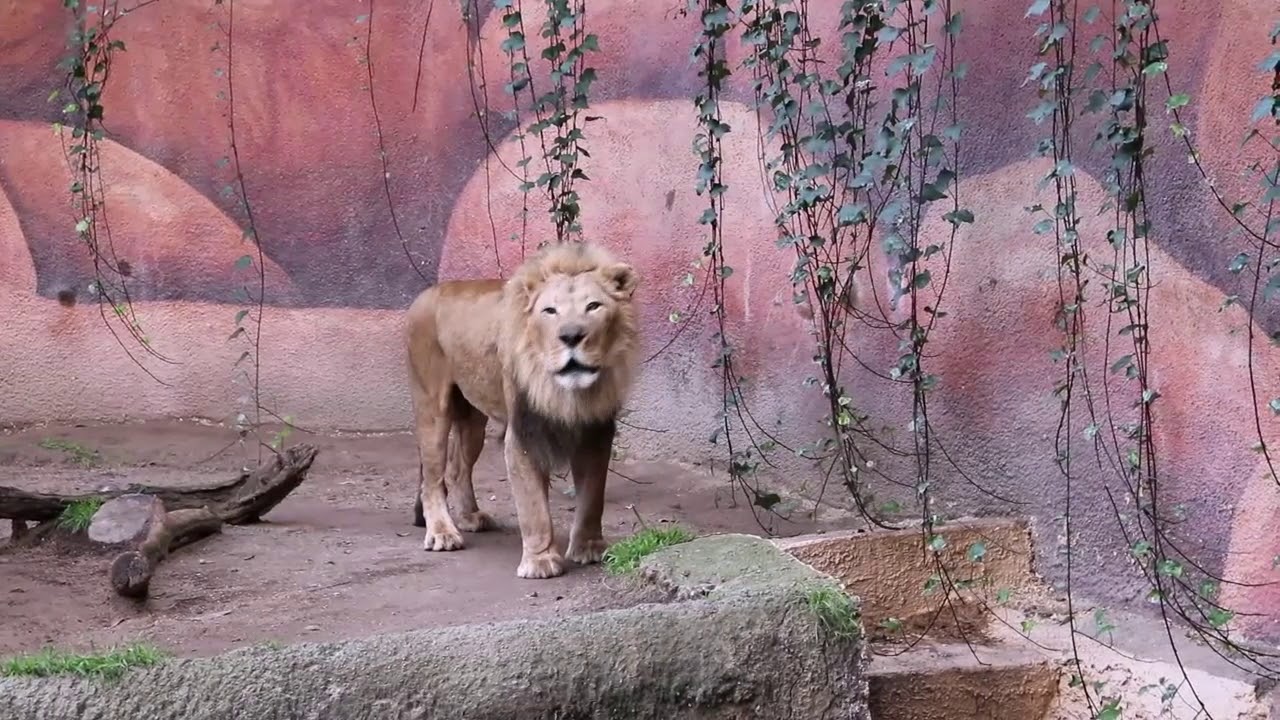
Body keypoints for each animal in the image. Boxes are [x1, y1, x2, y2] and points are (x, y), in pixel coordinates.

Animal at [404, 241, 640, 579]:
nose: (571, 336)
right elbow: (533, 506)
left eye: (593, 306)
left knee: (457, 468)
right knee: (433, 479)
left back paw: (470, 517)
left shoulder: (596, 432)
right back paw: (443, 534)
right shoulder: (524, 434)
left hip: (473, 420)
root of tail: (426, 293)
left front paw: (589, 548)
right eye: (549, 311)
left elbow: (593, 495)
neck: (567, 393)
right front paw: (540, 562)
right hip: (432, 407)